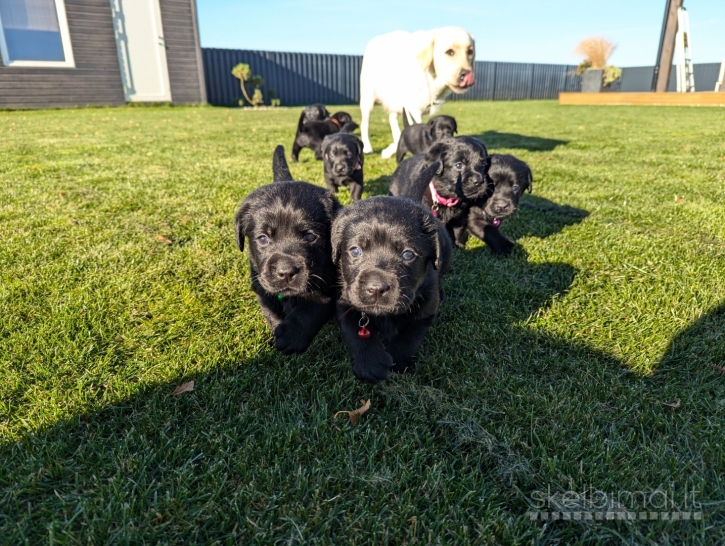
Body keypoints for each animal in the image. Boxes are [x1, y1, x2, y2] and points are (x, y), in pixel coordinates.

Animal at [235, 144, 342, 352]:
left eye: (310, 236)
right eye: (263, 238)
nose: (286, 272)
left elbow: (315, 304)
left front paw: (292, 335)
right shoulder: (260, 281)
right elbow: (270, 309)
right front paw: (278, 327)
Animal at [334, 162, 452, 382]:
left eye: (407, 254)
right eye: (355, 251)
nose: (376, 288)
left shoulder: (425, 309)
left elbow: (408, 339)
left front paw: (398, 363)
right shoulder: (345, 300)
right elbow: (355, 332)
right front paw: (370, 364)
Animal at [358, 27, 476, 157]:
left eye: (470, 52)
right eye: (449, 52)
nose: (467, 74)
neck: (431, 80)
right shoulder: (413, 110)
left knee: (392, 119)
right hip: (368, 99)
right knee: (364, 124)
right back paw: (368, 147)